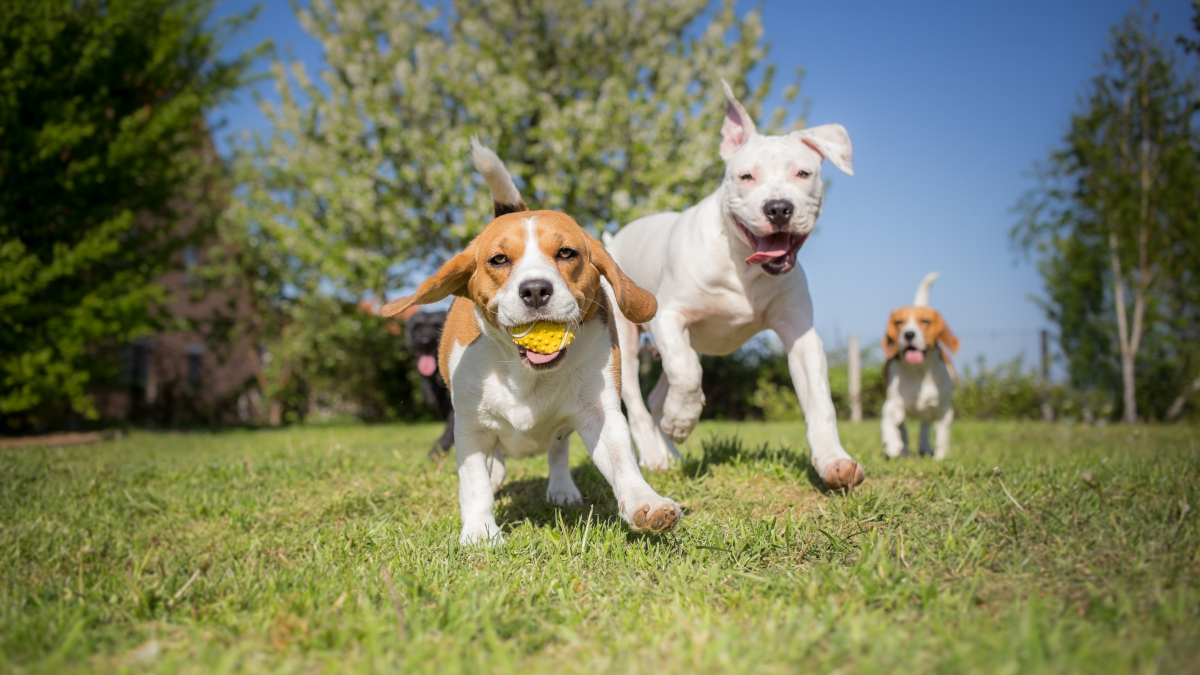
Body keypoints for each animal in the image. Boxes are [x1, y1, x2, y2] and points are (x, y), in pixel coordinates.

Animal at [609, 79, 864, 487]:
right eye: (746, 177)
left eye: (803, 174)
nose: (778, 208)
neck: (743, 267)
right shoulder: (670, 316)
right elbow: (686, 371)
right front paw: (683, 419)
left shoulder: (800, 335)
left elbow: (820, 402)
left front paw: (833, 461)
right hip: (627, 336)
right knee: (637, 399)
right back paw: (656, 455)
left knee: (657, 396)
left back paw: (672, 451)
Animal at [878, 271, 960, 456]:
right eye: (899, 322)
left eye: (925, 321)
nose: (908, 334)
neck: (919, 371)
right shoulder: (893, 403)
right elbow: (888, 421)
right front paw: (892, 443)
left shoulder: (945, 410)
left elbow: (942, 436)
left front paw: (941, 457)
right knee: (903, 428)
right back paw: (903, 449)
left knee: (925, 424)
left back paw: (924, 447)